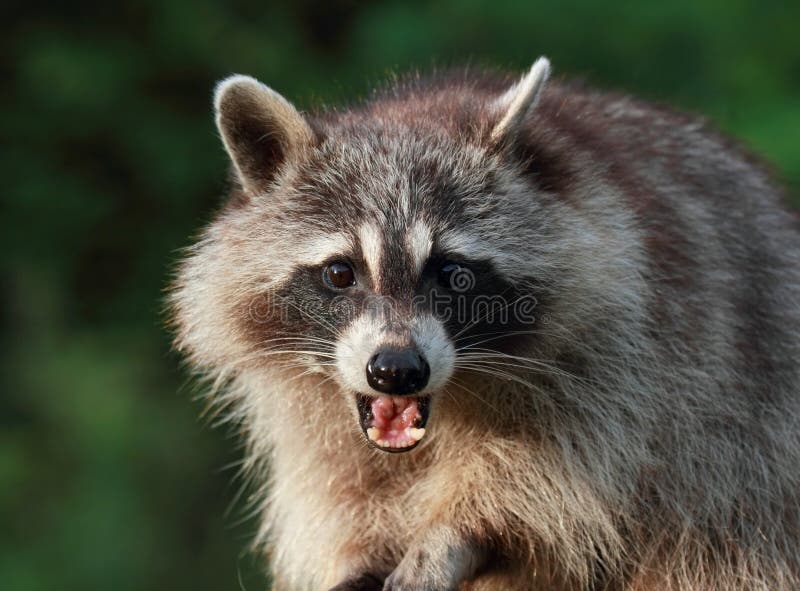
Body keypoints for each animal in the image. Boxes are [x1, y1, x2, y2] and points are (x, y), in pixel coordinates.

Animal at [169, 57, 800, 590]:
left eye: (453, 273)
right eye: (340, 273)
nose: (396, 370)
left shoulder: (632, 349)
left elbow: (549, 478)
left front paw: (457, 533)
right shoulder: (306, 413)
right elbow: (337, 485)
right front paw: (359, 555)